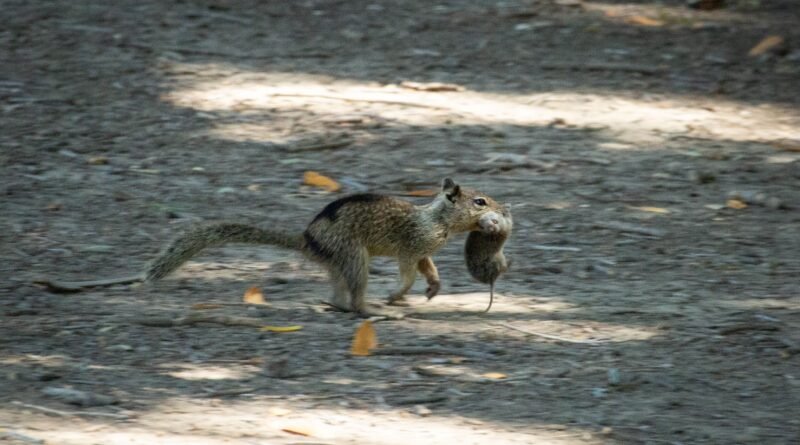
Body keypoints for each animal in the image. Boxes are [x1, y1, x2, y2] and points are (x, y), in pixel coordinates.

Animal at [43, 177, 506, 316]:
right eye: (480, 201)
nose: (502, 209)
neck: (437, 220)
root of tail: (307, 240)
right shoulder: (411, 247)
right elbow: (410, 270)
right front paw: (399, 294)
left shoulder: (425, 249)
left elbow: (430, 268)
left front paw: (433, 288)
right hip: (354, 256)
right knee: (354, 297)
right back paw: (374, 309)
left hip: (341, 262)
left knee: (336, 294)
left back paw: (339, 304)